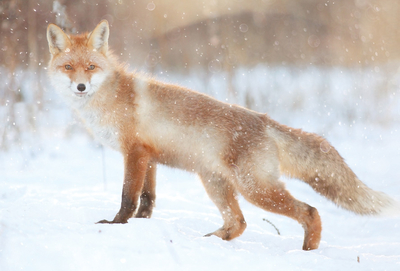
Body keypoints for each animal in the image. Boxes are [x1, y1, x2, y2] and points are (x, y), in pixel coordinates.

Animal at [47, 20, 396, 251]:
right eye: (69, 67)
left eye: (91, 67)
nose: (81, 87)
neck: (110, 99)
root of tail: (265, 121)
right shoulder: (149, 156)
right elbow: (148, 199)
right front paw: (142, 225)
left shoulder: (134, 152)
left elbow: (127, 197)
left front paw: (116, 226)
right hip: (215, 183)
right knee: (238, 223)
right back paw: (209, 242)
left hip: (255, 189)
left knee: (309, 212)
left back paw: (307, 253)